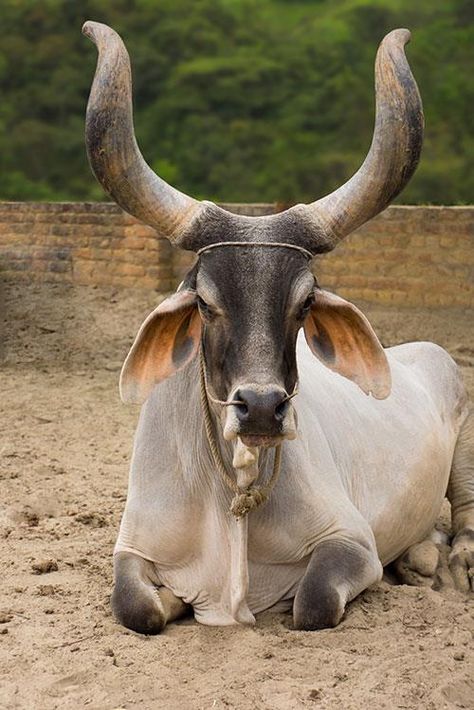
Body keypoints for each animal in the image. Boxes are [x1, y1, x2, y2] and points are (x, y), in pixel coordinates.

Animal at [83, 20, 472, 636]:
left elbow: (312, 602)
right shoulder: (132, 547)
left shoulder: (352, 543)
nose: (263, 408)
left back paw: (445, 561)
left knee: (464, 519)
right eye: (205, 303)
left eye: (304, 302)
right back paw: (420, 555)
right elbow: (138, 608)